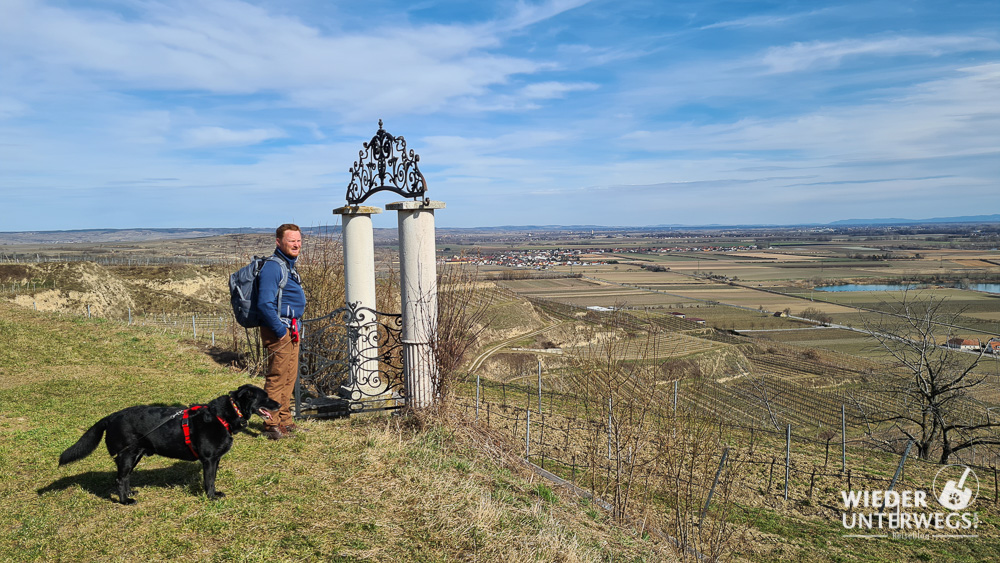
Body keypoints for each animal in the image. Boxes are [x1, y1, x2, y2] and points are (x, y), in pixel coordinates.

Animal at [58, 386, 280, 504]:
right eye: (266, 397)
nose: (279, 404)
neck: (223, 415)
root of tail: (111, 416)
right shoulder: (208, 460)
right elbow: (208, 480)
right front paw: (210, 497)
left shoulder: (215, 459)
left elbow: (214, 480)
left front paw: (215, 493)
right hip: (127, 455)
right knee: (120, 479)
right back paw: (125, 501)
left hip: (134, 455)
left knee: (125, 477)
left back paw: (130, 493)